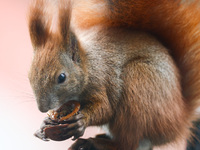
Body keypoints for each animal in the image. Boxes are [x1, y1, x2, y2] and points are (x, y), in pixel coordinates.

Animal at [27, 0, 200, 150]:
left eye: (62, 77)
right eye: (29, 76)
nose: (42, 108)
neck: (89, 65)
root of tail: (179, 120)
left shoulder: (100, 81)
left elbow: (106, 109)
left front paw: (82, 121)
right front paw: (44, 124)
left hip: (139, 87)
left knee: (128, 143)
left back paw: (96, 143)